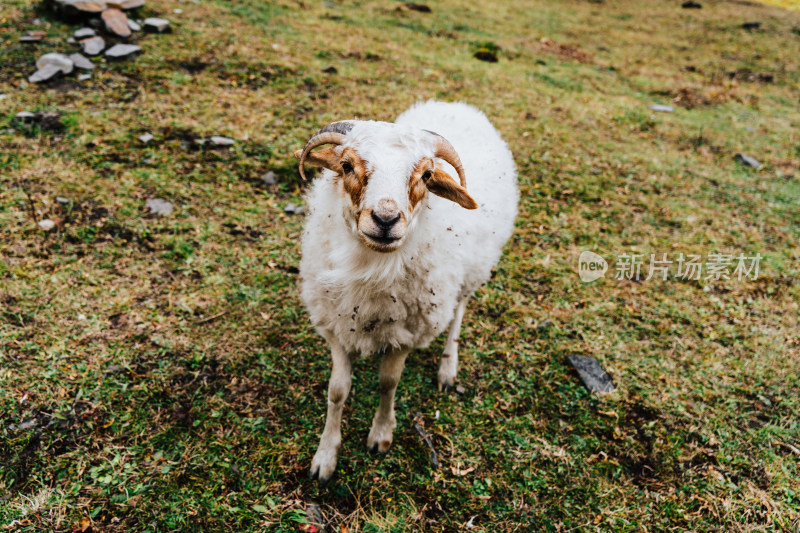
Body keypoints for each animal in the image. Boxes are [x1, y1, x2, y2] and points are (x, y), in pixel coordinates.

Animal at [296, 100, 520, 486]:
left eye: (427, 175)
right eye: (346, 165)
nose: (385, 219)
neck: (372, 267)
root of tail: (456, 104)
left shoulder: (407, 333)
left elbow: (389, 383)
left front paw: (381, 434)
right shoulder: (336, 323)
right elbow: (337, 390)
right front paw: (325, 456)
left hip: (470, 273)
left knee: (458, 313)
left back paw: (448, 368)